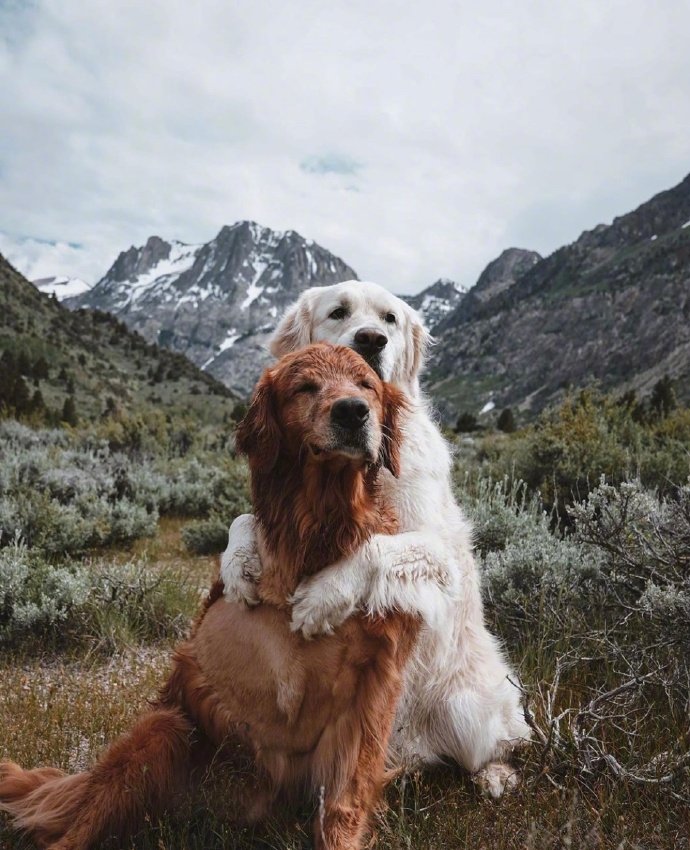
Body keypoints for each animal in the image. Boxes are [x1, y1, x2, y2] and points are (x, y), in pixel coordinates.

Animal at [0, 342, 416, 848]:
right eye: (305, 386)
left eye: (366, 385)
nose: (353, 412)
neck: (318, 529)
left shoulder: (371, 687)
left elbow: (342, 805)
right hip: (162, 730)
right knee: (75, 834)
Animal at [220, 280, 528, 796]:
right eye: (338, 312)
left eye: (389, 319)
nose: (370, 341)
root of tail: (413, 749)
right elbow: (242, 519)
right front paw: (239, 566)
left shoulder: (439, 555)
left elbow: (378, 548)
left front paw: (321, 598)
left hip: (467, 703)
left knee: (502, 742)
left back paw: (496, 774)